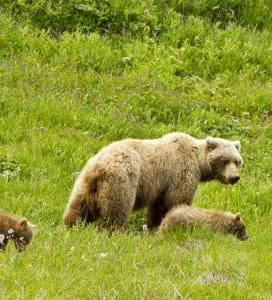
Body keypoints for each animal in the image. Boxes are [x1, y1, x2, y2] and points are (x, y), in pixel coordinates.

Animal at [63, 132, 242, 232]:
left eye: (237, 161)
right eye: (225, 160)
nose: (234, 177)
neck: (199, 162)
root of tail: (100, 165)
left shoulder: (161, 186)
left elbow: (157, 207)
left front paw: (153, 227)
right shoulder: (182, 172)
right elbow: (176, 200)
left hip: (86, 183)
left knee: (79, 206)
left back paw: (71, 226)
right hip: (122, 180)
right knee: (117, 211)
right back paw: (116, 231)